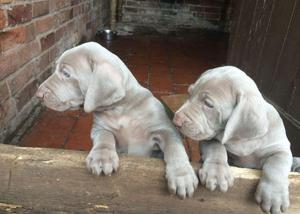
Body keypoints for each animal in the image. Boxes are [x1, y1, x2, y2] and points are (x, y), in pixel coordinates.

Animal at [35, 41, 199, 199]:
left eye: (66, 74)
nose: (38, 94)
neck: (120, 110)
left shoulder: (165, 129)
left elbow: (174, 147)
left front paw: (182, 176)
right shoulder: (99, 128)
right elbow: (104, 137)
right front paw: (102, 158)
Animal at [173, 66, 296, 213]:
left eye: (208, 104)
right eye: (189, 93)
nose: (176, 120)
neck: (242, 140)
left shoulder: (280, 148)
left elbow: (277, 165)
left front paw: (274, 195)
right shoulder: (208, 138)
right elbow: (216, 147)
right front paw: (217, 173)